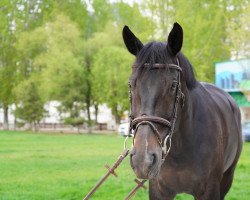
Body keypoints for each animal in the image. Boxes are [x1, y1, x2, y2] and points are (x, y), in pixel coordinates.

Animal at [122, 22, 243, 199]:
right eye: (131, 84)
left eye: (173, 85)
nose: (143, 160)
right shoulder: (158, 189)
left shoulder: (211, 189)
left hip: (228, 177)